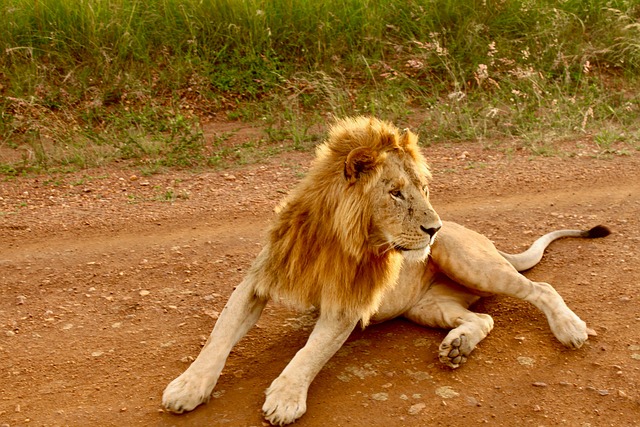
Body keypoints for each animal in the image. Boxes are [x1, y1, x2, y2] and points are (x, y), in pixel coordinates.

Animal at [162, 116, 610, 425]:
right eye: (395, 193)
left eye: (424, 190)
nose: (433, 228)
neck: (334, 236)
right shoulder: (258, 280)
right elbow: (218, 337)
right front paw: (187, 388)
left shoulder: (345, 303)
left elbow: (309, 353)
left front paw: (285, 398)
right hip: (428, 307)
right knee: (482, 318)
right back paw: (457, 347)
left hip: (469, 261)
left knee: (542, 287)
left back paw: (569, 329)